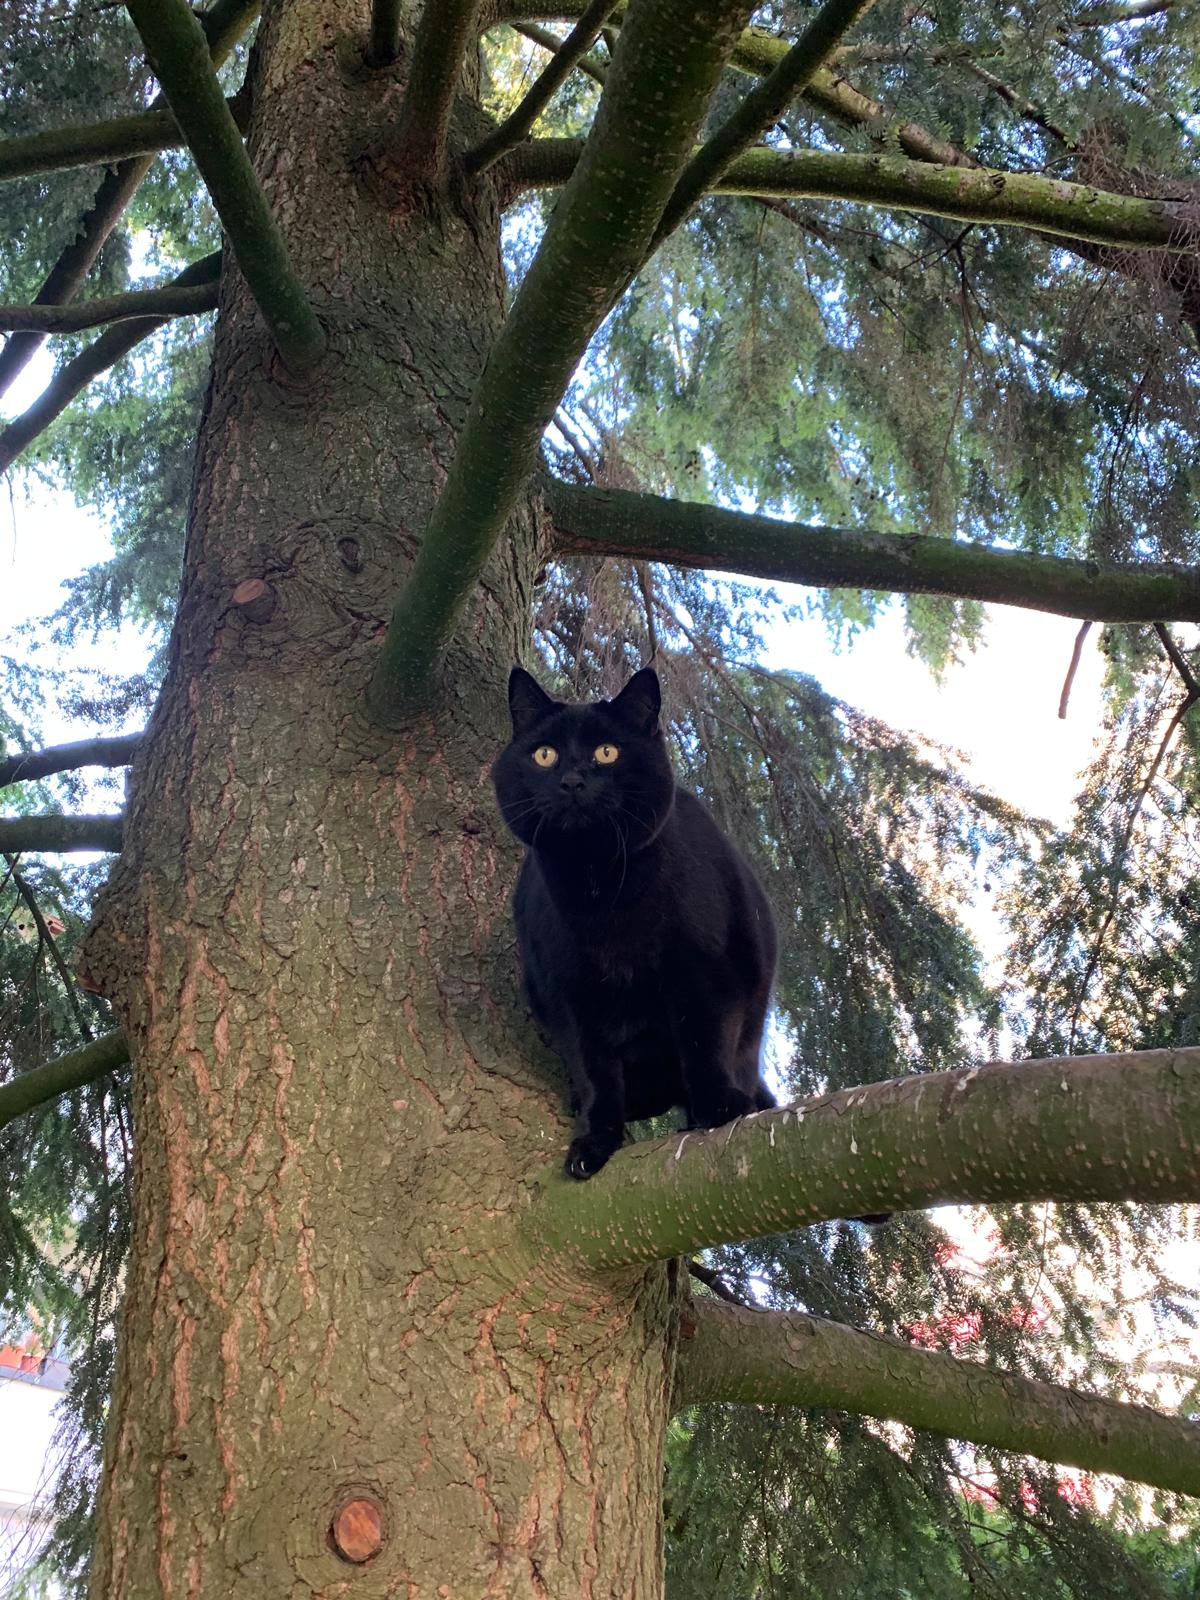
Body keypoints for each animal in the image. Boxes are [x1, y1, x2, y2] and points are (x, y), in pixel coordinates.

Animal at [489, 662, 780, 1177]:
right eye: (545, 755)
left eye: (607, 752)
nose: (572, 780)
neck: (601, 890)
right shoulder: (569, 999)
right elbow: (595, 1076)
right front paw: (595, 1141)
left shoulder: (705, 971)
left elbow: (705, 1042)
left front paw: (717, 1108)